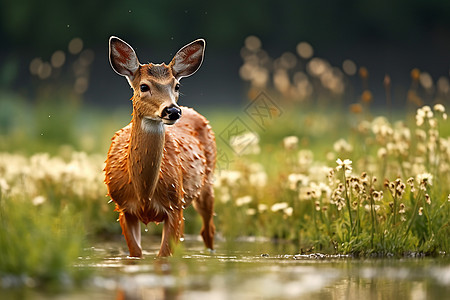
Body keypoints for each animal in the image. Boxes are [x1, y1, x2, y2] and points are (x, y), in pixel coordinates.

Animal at [106, 37, 218, 258]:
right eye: (143, 86)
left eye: (177, 85)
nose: (172, 110)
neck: (144, 193)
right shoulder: (123, 208)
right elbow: (136, 254)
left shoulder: (175, 207)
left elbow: (163, 256)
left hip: (207, 183)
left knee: (208, 230)